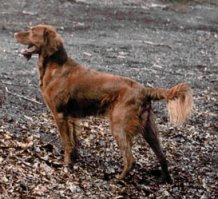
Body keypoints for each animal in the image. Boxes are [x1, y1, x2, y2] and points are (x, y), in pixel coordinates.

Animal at [14, 24, 192, 183]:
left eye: (32, 31)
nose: (15, 33)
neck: (56, 67)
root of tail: (144, 90)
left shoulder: (60, 115)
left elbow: (67, 143)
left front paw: (65, 165)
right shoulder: (70, 117)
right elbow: (73, 141)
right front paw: (74, 160)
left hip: (119, 126)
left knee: (131, 159)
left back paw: (118, 179)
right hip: (149, 129)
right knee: (162, 155)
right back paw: (164, 179)